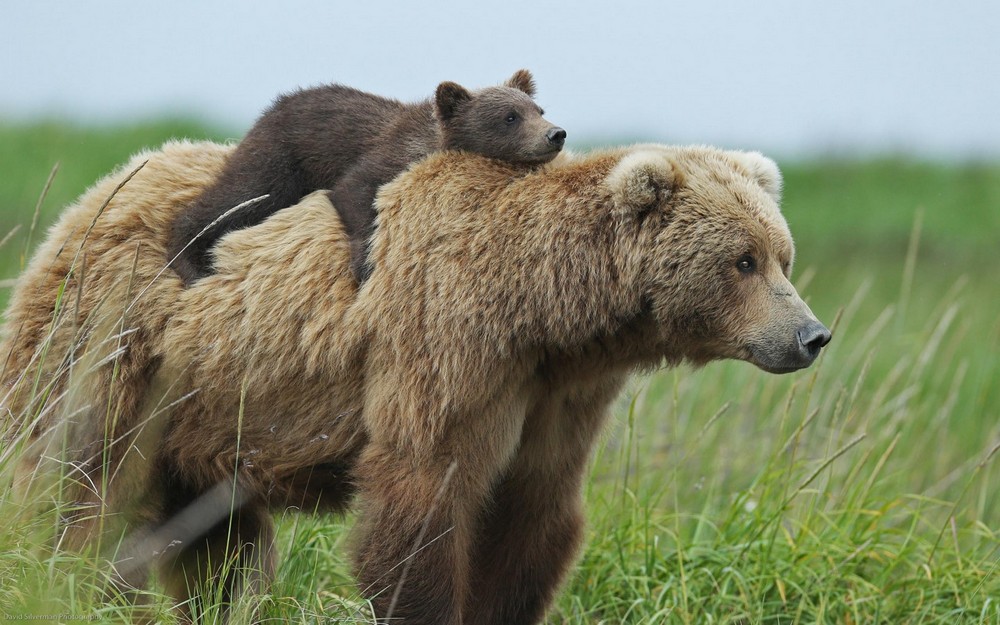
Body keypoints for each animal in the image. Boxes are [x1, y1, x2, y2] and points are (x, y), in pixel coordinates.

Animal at [0, 141, 828, 624]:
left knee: (216, 539)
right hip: (113, 348)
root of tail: (94, 193)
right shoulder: (446, 347)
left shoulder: (555, 395)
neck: (544, 312)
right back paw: (73, 589)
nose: (811, 335)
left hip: (204, 414)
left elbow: (532, 515)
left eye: (782, 253)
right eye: (743, 260)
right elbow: (422, 500)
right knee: (77, 490)